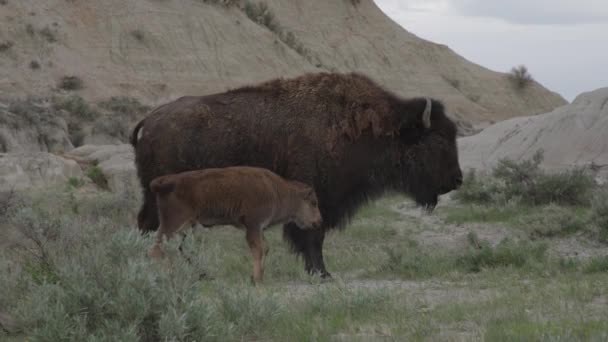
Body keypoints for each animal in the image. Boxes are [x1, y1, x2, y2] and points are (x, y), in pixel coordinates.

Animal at [147, 166, 324, 284]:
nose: (318, 221)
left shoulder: (258, 228)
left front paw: (257, 276)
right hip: (174, 224)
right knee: (157, 249)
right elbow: (258, 250)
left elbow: (265, 248)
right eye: (313, 203)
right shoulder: (253, 225)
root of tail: (163, 182)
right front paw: (257, 279)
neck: (276, 190)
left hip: (182, 227)